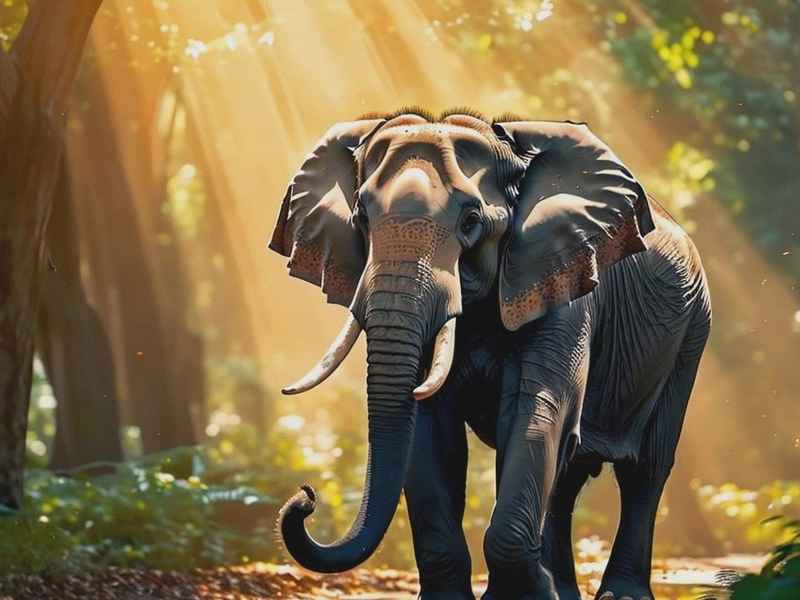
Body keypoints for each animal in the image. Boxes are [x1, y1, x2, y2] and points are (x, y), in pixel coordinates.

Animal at [269, 108, 711, 600]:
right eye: (362, 219)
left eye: (471, 221)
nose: (305, 497)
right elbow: (431, 430)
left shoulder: (562, 280)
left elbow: (534, 413)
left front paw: (527, 593)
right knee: (569, 474)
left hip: (692, 332)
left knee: (645, 469)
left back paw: (618, 592)